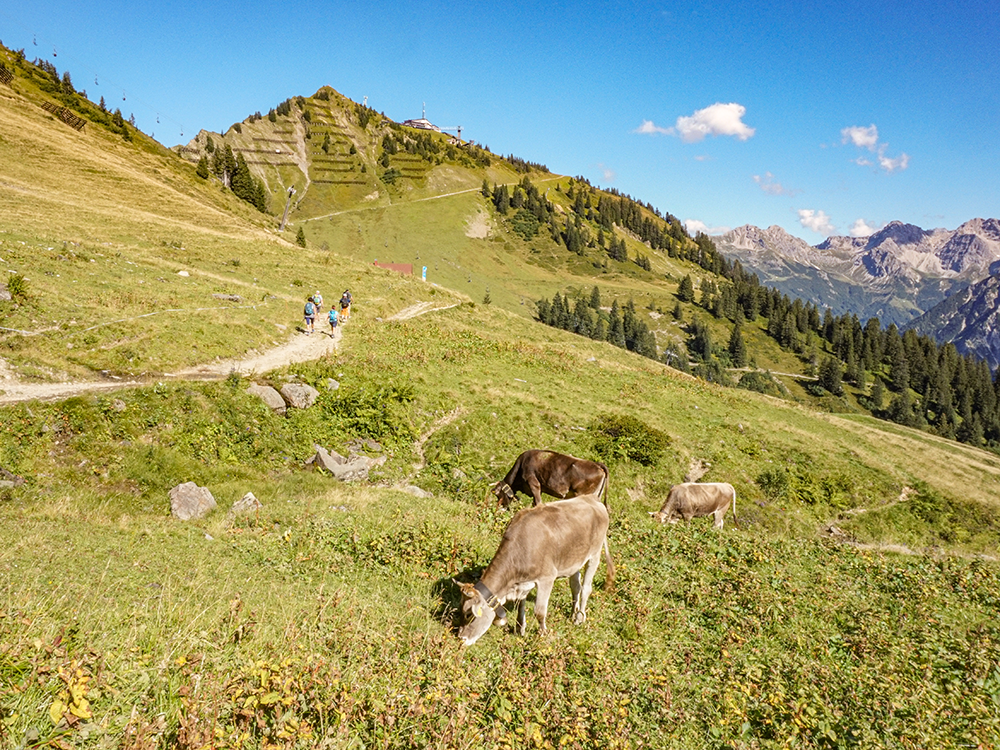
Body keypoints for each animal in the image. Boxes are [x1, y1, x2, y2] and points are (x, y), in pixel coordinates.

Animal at [458, 494, 612, 648]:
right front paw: (520, 628)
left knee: (586, 588)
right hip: (574, 560)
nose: (461, 638)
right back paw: (573, 613)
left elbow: (539, 611)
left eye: (468, 614)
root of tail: (592, 498)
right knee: (576, 587)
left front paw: (543, 634)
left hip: (595, 554)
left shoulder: (547, 578)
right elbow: (520, 604)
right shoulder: (523, 583)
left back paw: (579, 617)